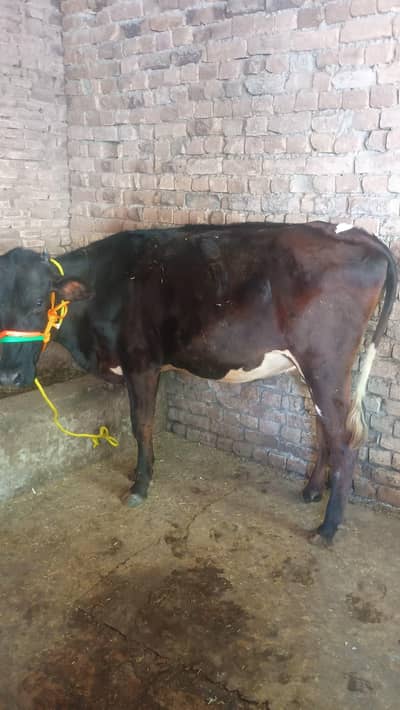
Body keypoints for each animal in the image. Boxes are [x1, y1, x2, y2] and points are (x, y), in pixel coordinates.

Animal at [0, 222, 397, 543]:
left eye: (39, 302)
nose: (9, 375)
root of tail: (356, 232)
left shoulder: (141, 362)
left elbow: (141, 424)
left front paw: (140, 484)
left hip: (325, 364)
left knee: (345, 437)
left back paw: (327, 529)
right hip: (315, 370)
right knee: (323, 427)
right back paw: (312, 491)